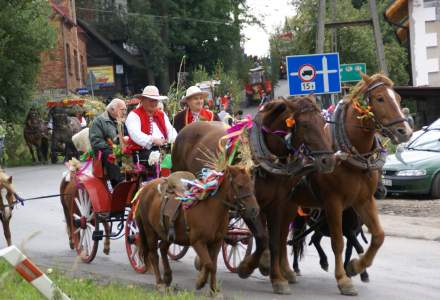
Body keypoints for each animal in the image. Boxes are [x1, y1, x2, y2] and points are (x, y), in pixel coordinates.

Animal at [136, 166, 260, 296]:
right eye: (240, 186)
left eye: (252, 185)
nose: (255, 210)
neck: (210, 210)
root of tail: (146, 187)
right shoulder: (198, 242)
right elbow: (208, 264)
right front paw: (200, 281)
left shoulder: (216, 242)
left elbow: (213, 265)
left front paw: (214, 290)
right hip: (149, 230)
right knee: (153, 255)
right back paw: (160, 283)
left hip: (168, 234)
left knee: (163, 248)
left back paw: (167, 278)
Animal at [172, 95, 336, 292]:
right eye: (304, 124)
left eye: (323, 121)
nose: (328, 160)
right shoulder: (246, 203)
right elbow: (262, 237)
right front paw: (247, 267)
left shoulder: (278, 204)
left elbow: (275, 240)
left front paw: (277, 278)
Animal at [288, 73, 412, 296]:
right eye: (380, 98)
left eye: (398, 98)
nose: (404, 131)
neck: (349, 157)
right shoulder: (333, 202)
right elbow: (338, 242)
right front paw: (343, 280)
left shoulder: (363, 200)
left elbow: (378, 236)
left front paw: (356, 267)